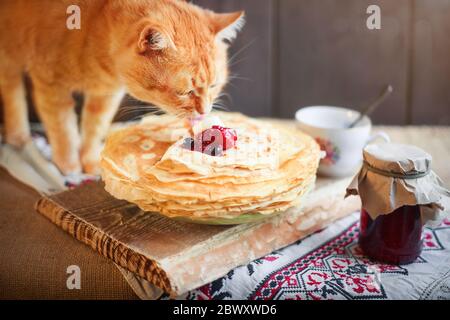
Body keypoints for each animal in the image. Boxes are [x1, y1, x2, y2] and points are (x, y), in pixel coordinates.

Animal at [0, 0, 243, 174]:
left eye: (213, 85)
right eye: (185, 92)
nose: (204, 111)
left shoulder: (105, 95)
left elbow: (93, 128)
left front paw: (90, 161)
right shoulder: (51, 86)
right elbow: (63, 129)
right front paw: (69, 165)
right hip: (10, 51)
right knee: (11, 90)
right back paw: (18, 135)